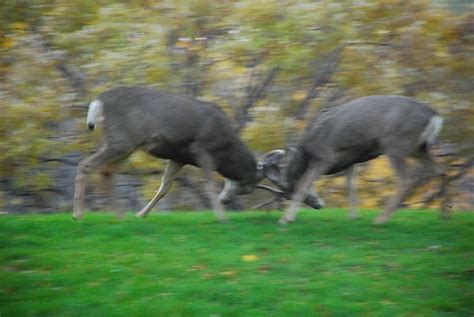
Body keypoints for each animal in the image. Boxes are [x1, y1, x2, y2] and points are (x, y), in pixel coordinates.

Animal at [73, 85, 262, 221]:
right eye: (246, 187)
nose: (226, 200)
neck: (227, 147)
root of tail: (99, 101)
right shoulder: (201, 148)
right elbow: (208, 184)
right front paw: (222, 218)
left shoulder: (179, 157)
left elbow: (164, 187)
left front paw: (141, 215)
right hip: (121, 139)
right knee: (86, 164)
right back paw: (78, 214)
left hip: (128, 144)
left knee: (107, 171)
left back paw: (120, 216)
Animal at [258, 95, 446, 223]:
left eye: (290, 191)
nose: (318, 205)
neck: (306, 152)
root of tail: (435, 117)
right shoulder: (350, 159)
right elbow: (351, 187)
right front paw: (353, 217)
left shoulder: (324, 156)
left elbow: (304, 183)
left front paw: (285, 219)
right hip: (419, 148)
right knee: (440, 171)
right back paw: (444, 215)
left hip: (395, 144)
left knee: (407, 179)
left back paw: (380, 220)